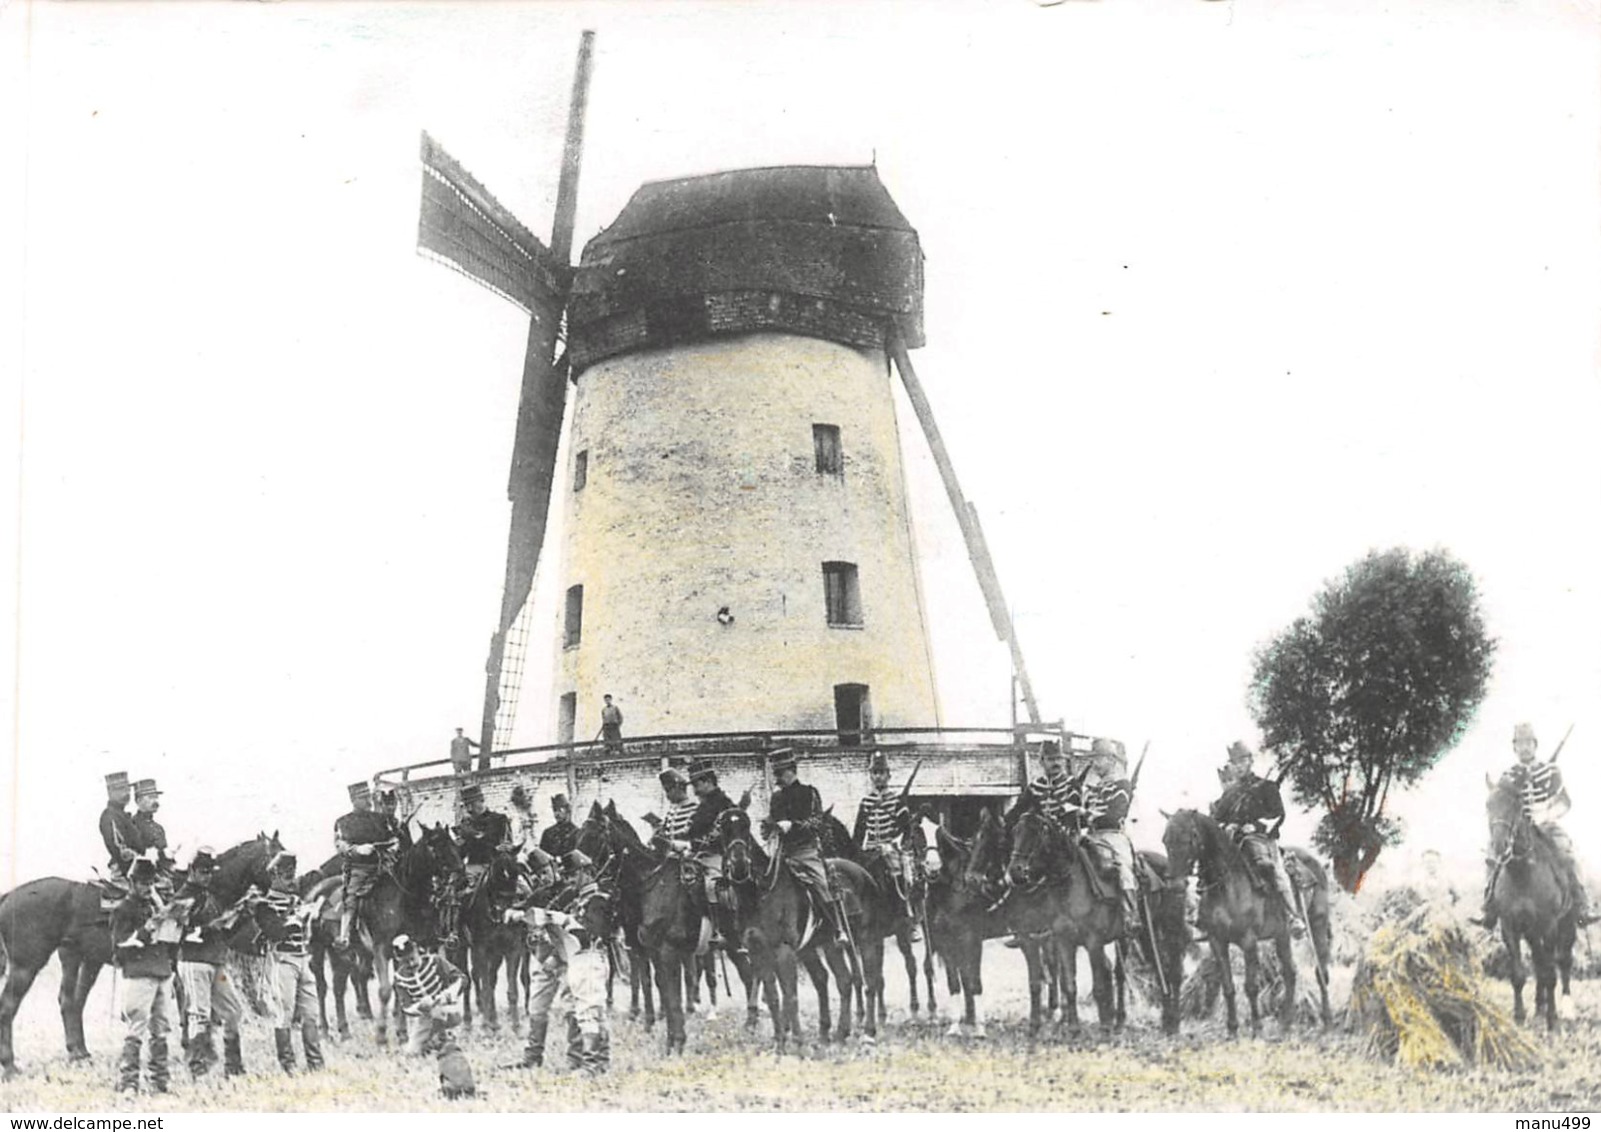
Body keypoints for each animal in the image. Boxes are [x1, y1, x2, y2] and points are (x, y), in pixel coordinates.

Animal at [0, 832, 284, 1082]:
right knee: (9, 1006)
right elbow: (189, 1010)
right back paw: (11, 1065)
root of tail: (9, 896)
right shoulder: (182, 968)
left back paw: (79, 1053)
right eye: (276, 863)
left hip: (78, 958)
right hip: (27, 966)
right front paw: (194, 1051)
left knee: (70, 1002)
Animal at [720, 806, 883, 1056]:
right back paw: (837, 1035)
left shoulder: (784, 951)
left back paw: (868, 1035)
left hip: (865, 939)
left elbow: (790, 995)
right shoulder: (758, 952)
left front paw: (796, 1042)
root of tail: (864, 874)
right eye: (723, 828)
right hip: (826, 945)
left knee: (870, 981)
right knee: (843, 981)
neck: (760, 892)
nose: (738, 864)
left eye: (745, 827)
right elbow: (773, 997)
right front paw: (779, 1043)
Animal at [1159, 810, 1332, 1037]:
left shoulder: (1248, 941)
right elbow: (1228, 986)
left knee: (1321, 973)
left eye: (1192, 837)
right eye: (1165, 840)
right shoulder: (1217, 941)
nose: (1175, 885)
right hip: (1282, 934)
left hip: (1317, 925)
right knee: (1290, 972)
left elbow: (1251, 986)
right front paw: (1232, 1029)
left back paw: (1327, 1020)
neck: (1227, 884)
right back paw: (1285, 1023)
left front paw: (1257, 1027)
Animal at [1485, 778, 1575, 1024]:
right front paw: (1519, 1016)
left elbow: (1551, 972)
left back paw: (1565, 1006)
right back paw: (1538, 1007)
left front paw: (1552, 1019)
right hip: (1532, 933)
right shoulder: (1510, 927)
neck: (1522, 874)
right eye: (1488, 805)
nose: (1499, 846)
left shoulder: (1549, 926)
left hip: (1566, 925)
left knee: (1563, 961)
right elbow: (1519, 974)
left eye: (1515, 805)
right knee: (1538, 961)